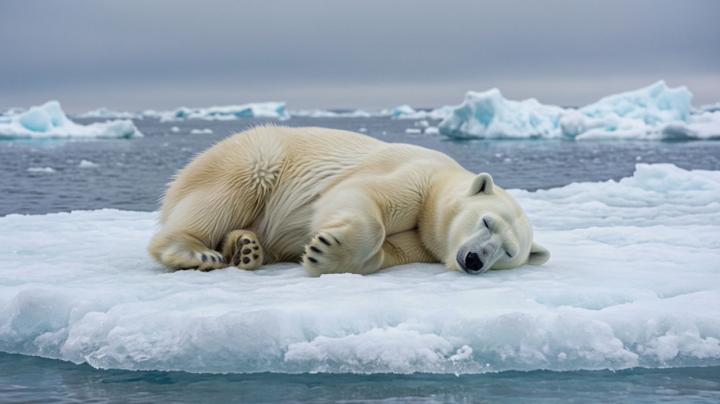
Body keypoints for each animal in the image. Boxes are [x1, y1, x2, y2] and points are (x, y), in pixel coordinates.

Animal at [148, 126, 549, 275]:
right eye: (486, 221)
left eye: (509, 252)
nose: (475, 259)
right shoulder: (416, 178)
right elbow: (360, 197)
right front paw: (326, 250)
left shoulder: (423, 242)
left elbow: (392, 251)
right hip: (253, 156)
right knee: (233, 186)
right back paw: (194, 252)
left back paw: (246, 249)